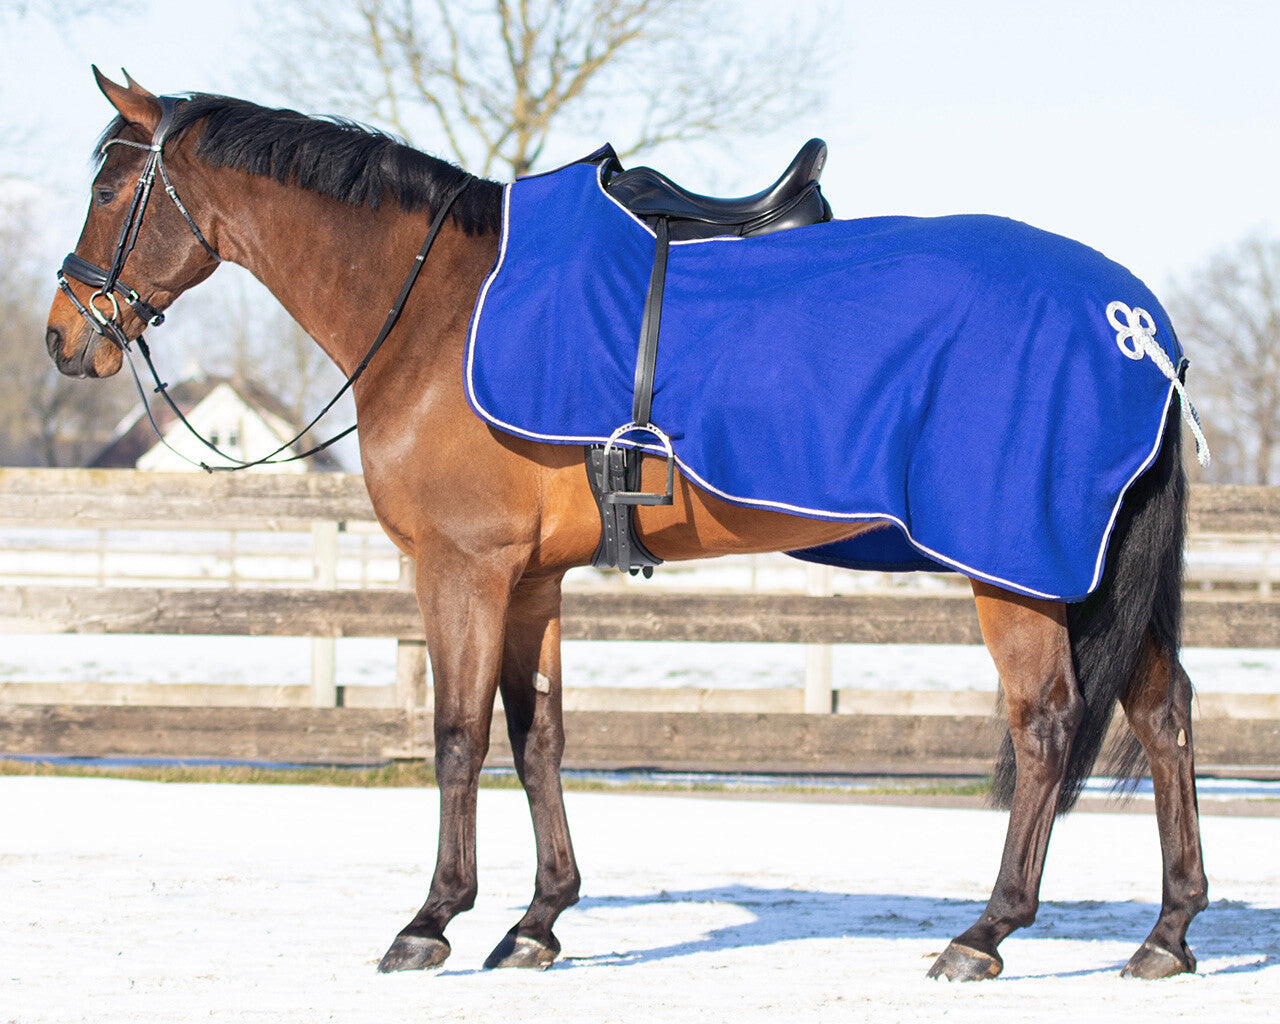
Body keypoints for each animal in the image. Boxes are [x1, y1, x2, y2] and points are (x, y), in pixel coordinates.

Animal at [46, 69, 1208, 982]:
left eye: (107, 188)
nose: (64, 335)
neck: (438, 310)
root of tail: (1138, 327)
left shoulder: (462, 569)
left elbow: (457, 736)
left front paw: (431, 920)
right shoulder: (530, 580)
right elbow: (539, 735)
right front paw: (537, 921)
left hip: (1017, 569)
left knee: (1046, 723)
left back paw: (985, 932)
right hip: (1097, 571)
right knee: (1162, 715)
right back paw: (1167, 931)